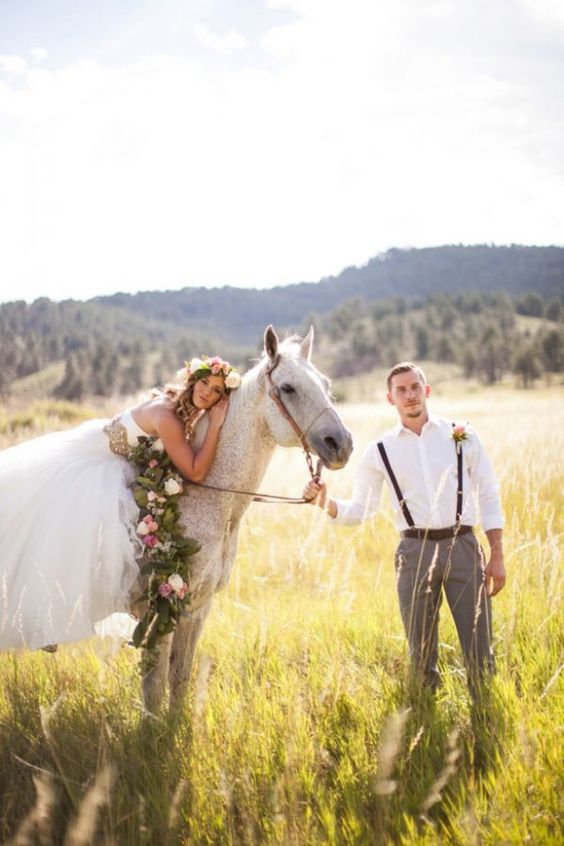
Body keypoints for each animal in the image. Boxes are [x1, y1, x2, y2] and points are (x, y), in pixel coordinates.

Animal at [141, 326, 352, 716]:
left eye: (326, 384)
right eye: (288, 388)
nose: (341, 444)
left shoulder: (197, 605)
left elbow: (179, 676)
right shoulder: (162, 609)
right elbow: (154, 684)